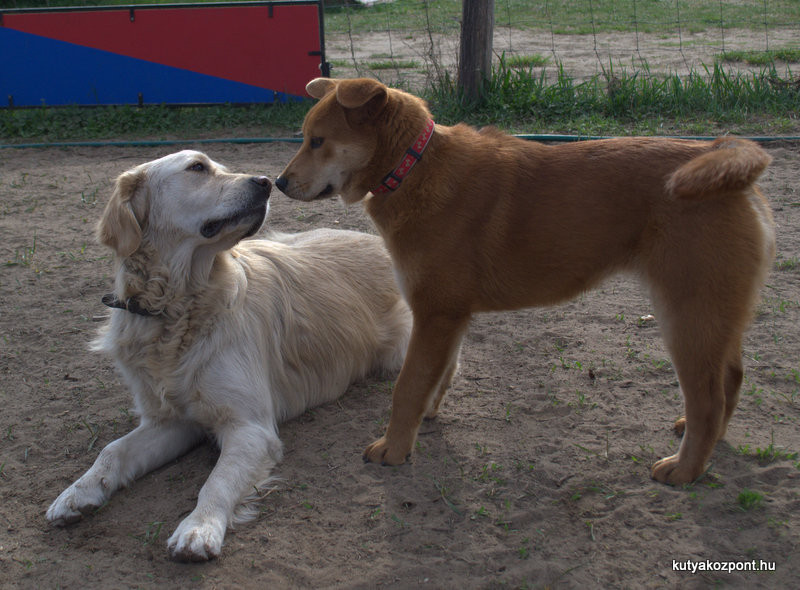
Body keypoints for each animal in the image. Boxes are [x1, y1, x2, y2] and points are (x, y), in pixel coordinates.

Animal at [47, 150, 410, 560]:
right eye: (197, 168)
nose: (267, 182)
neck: (177, 309)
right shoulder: (171, 421)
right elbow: (112, 450)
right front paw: (77, 493)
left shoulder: (250, 428)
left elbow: (216, 482)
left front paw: (198, 527)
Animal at [276, 77, 776, 486]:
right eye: (304, 138)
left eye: (318, 141)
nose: (277, 182)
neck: (414, 167)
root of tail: (718, 150)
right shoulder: (450, 318)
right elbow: (441, 375)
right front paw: (427, 419)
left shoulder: (436, 314)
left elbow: (408, 386)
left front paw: (395, 449)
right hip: (714, 316)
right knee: (730, 380)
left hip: (686, 319)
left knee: (708, 400)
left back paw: (686, 469)